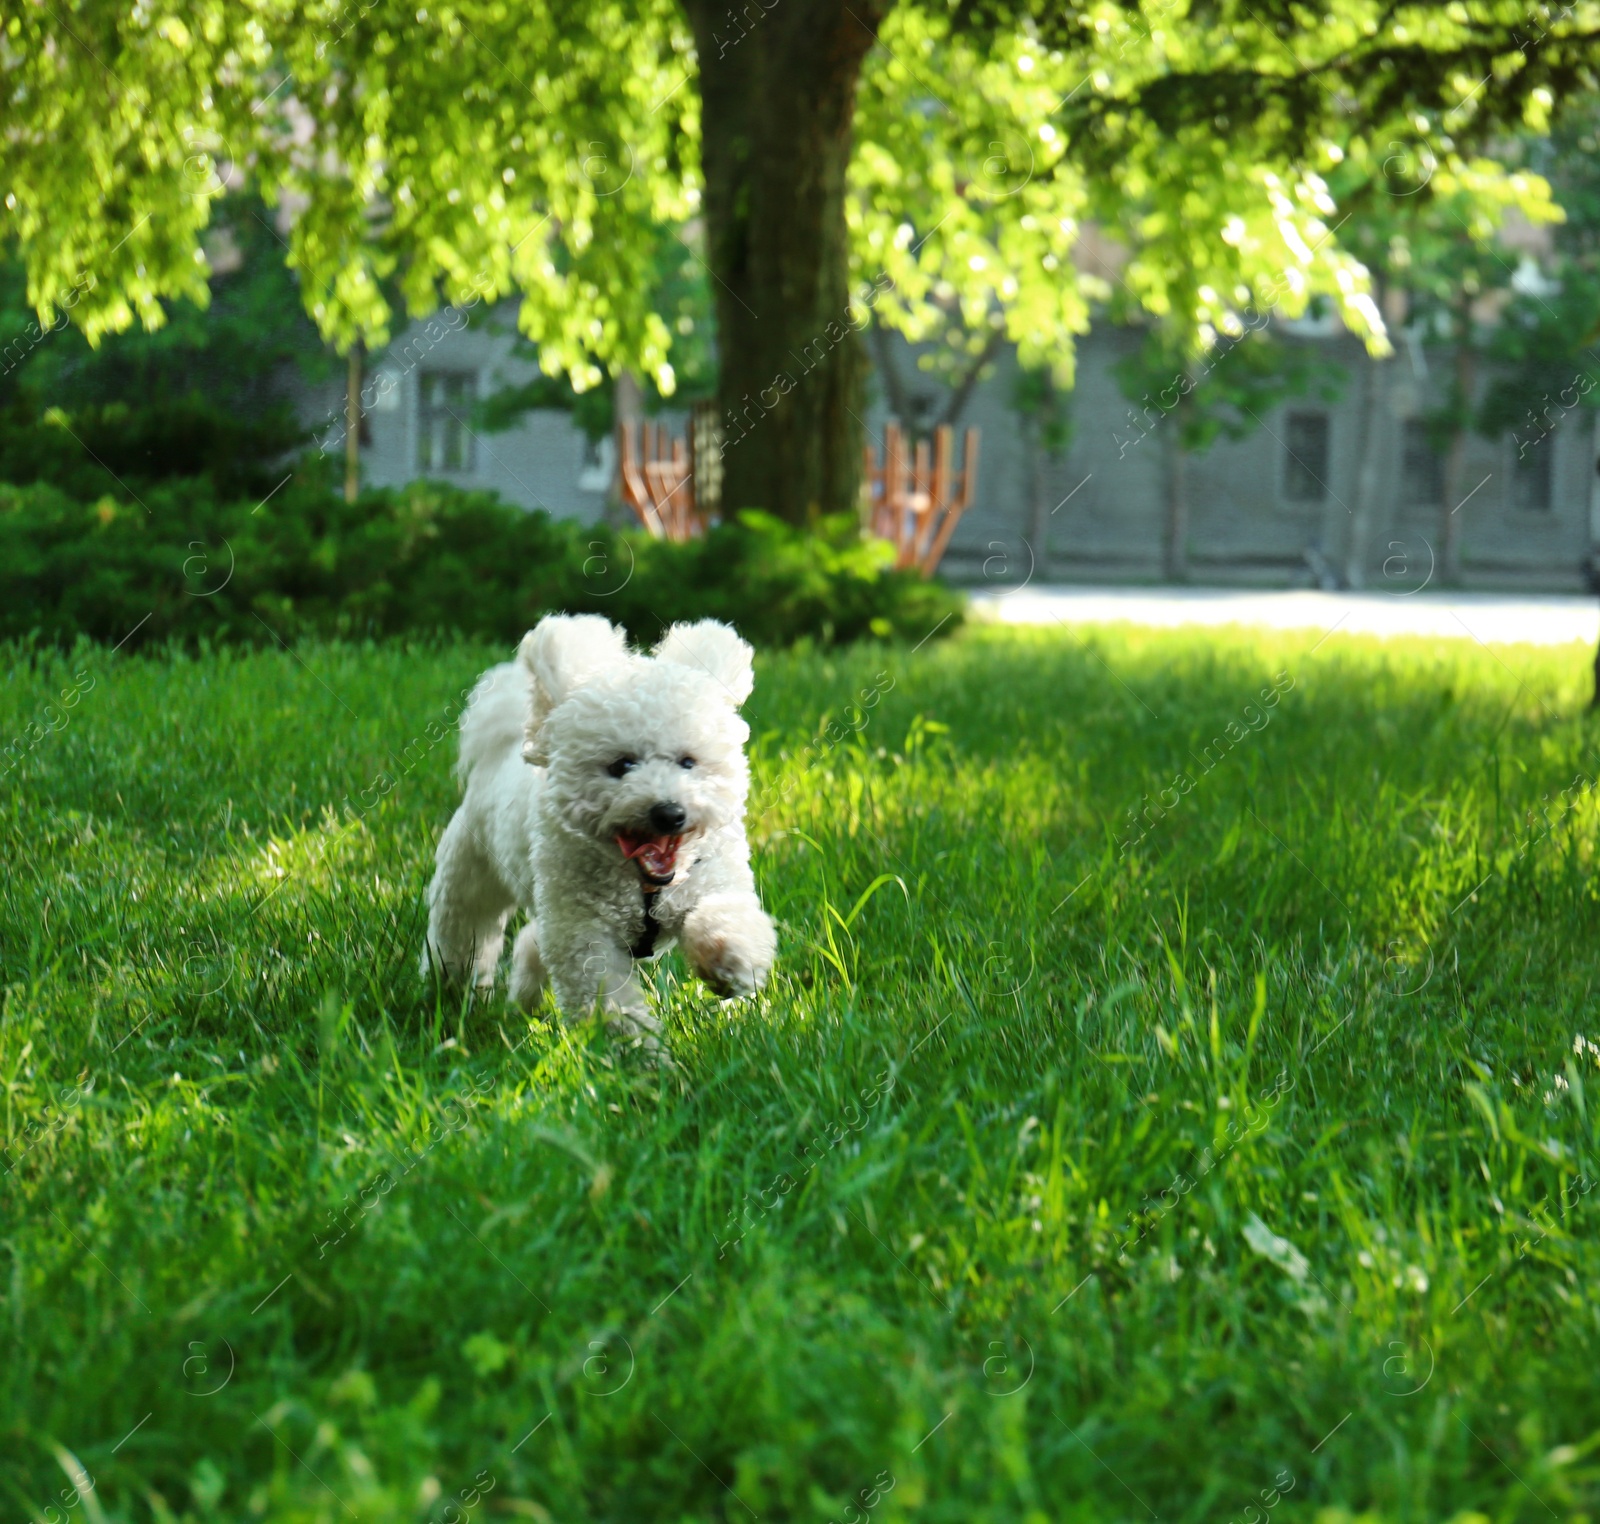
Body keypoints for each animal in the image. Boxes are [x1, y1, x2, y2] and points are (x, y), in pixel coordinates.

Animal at [422, 611, 777, 1050]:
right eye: (621, 765)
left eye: (687, 762)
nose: (669, 812)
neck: (643, 887)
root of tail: (498, 751)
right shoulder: (584, 934)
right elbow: (607, 998)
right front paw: (638, 1055)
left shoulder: (712, 880)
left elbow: (727, 916)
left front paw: (730, 961)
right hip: (471, 874)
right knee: (463, 930)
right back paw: (452, 990)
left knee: (531, 943)